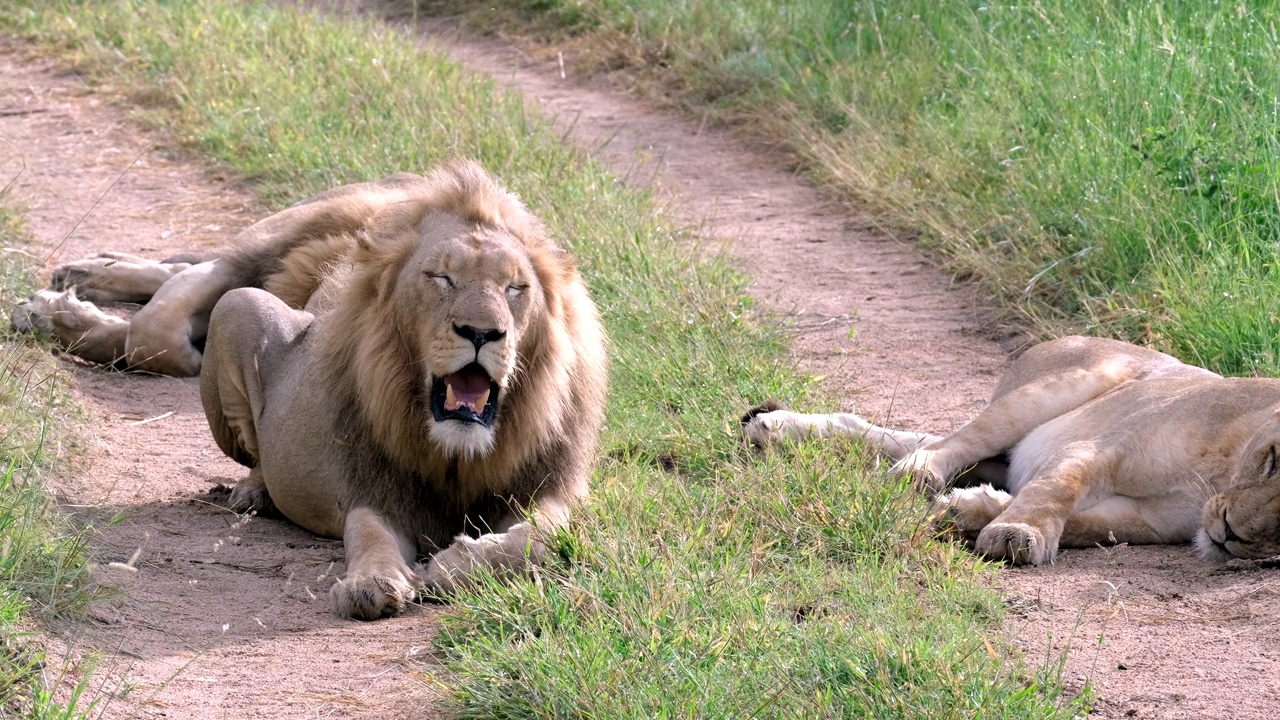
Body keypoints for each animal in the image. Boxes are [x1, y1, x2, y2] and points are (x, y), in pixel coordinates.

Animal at [11, 161, 609, 617]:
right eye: (441, 278)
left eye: (515, 288)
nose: (483, 332)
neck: (455, 455)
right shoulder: (371, 489)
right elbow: (368, 535)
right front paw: (374, 582)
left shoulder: (554, 489)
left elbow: (541, 539)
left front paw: (450, 567)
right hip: (273, 243)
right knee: (172, 309)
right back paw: (65, 298)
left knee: (164, 302)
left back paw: (68, 294)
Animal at [742, 335, 1280, 566]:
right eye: (1273, 460)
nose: (1231, 534)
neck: (1221, 477)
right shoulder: (1100, 445)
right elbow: (1057, 489)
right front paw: (1014, 535)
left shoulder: (1148, 520)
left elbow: (1090, 528)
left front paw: (967, 513)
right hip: (1071, 383)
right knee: (948, 443)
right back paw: (915, 474)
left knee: (905, 438)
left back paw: (773, 428)